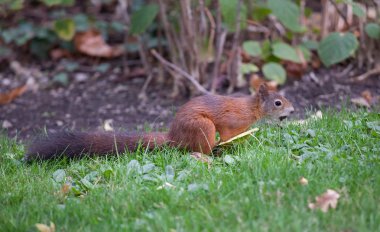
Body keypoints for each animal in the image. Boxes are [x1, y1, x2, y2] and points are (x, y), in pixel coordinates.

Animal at [25, 84, 296, 160]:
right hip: (203, 128)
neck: (250, 109)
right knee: (201, 148)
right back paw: (211, 154)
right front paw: (232, 144)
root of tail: (174, 137)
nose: (293, 111)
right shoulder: (230, 121)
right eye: (278, 103)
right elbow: (228, 133)